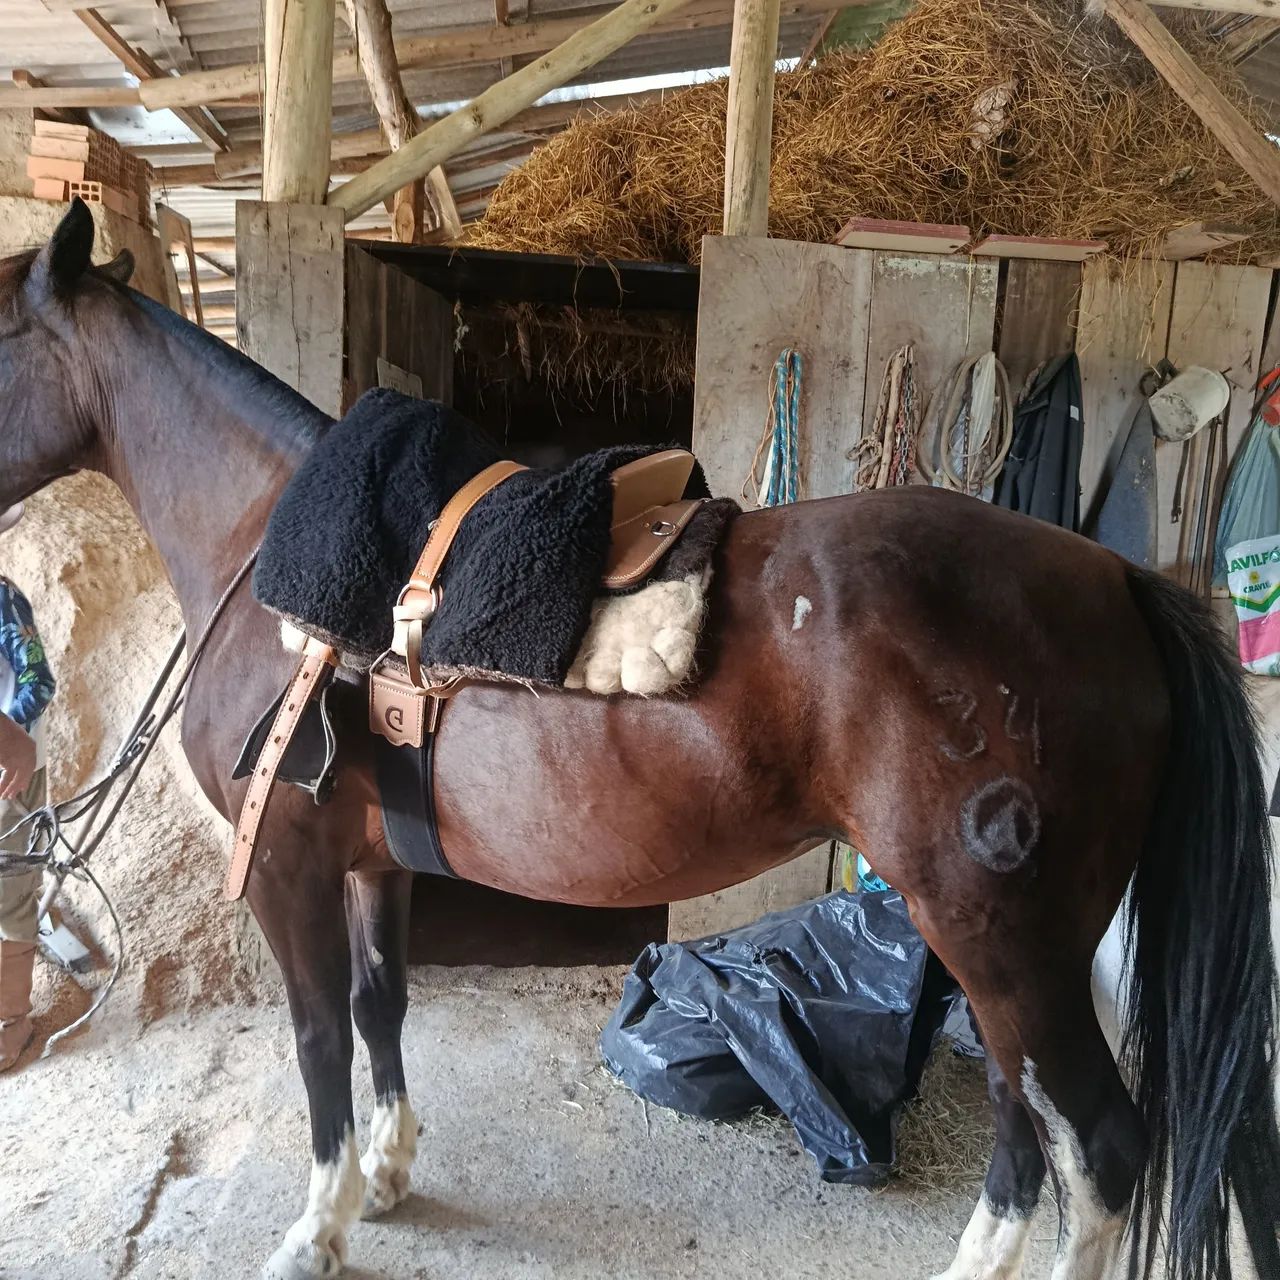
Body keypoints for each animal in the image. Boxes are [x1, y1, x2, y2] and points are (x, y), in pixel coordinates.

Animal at [2, 201, 1276, 1280]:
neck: (271, 555)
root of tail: (1113, 581)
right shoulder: (371, 861)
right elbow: (380, 1004)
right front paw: (390, 1170)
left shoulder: (287, 863)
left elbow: (316, 1035)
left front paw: (317, 1225)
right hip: (1000, 943)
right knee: (1025, 1125)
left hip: (1001, 931)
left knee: (1096, 1144)